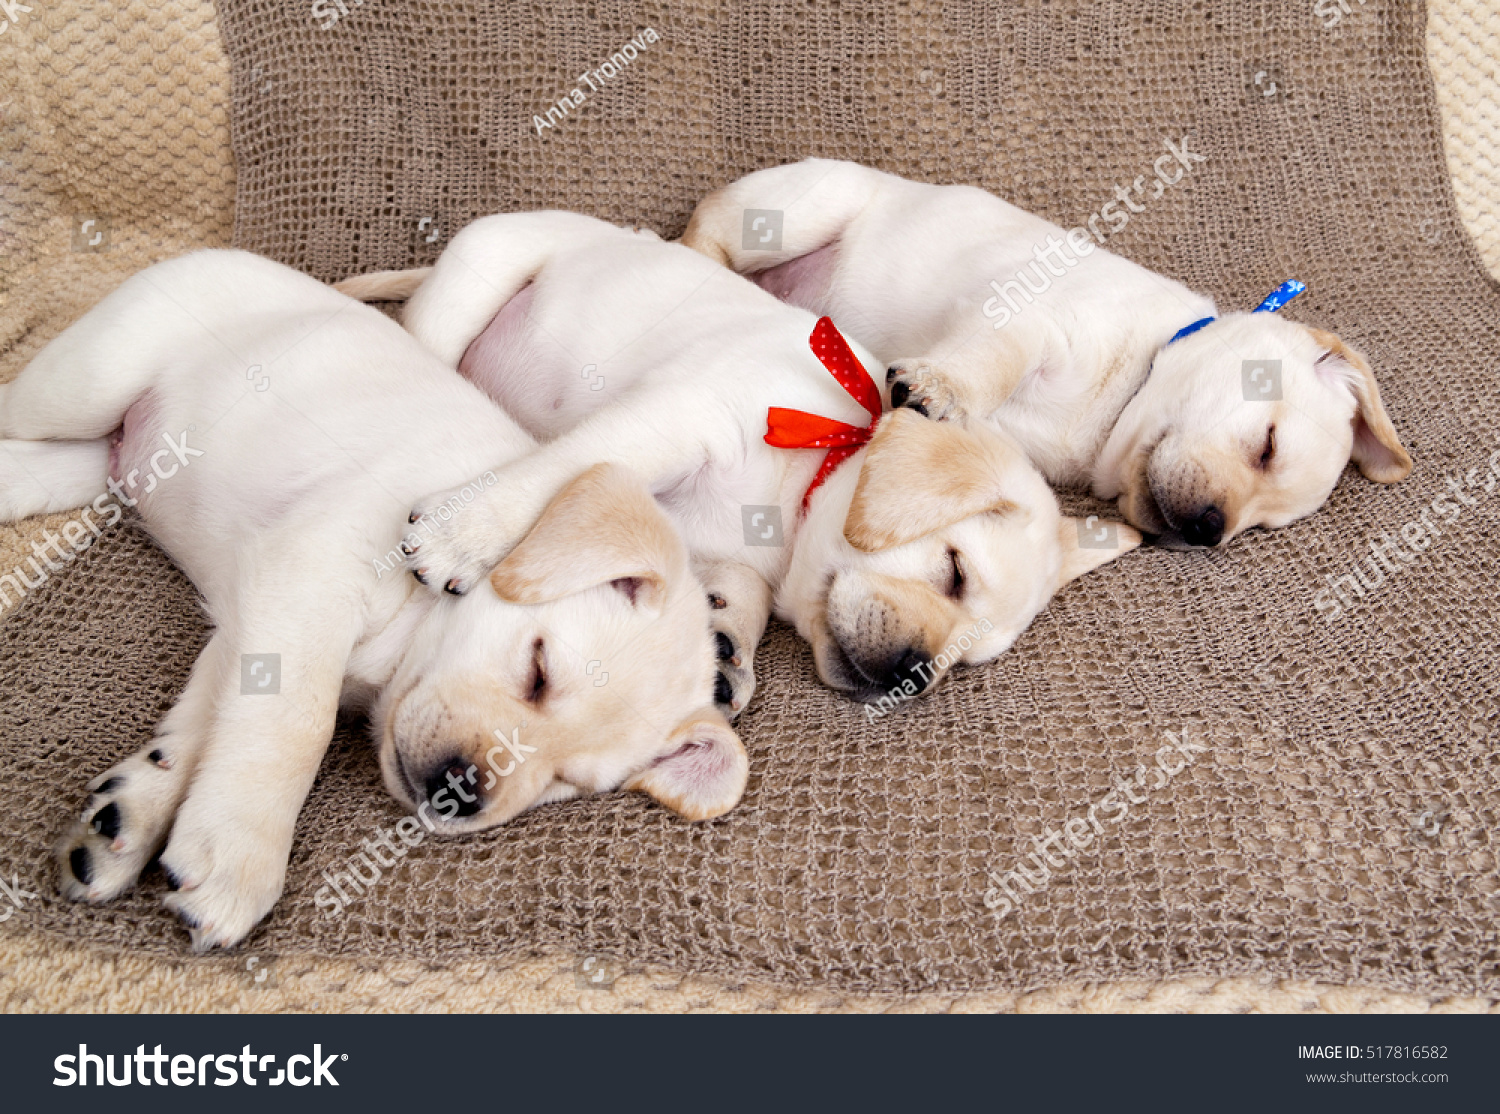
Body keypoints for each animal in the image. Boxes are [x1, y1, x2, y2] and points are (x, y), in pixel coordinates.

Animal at [0, 250, 744, 947]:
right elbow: (294, 722)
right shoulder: (312, 570)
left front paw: (137, 809)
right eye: (539, 671)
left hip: (93, 464)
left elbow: (216, 719)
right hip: (91, 377)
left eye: (569, 783)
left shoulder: (251, 613)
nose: (458, 793)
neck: (411, 636)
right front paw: (240, 858)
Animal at [687, 160, 1410, 548]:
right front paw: (939, 386)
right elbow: (992, 362)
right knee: (707, 231)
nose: (1209, 529)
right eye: (1267, 445)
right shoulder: (1025, 316)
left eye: (1258, 528)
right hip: (796, 212)